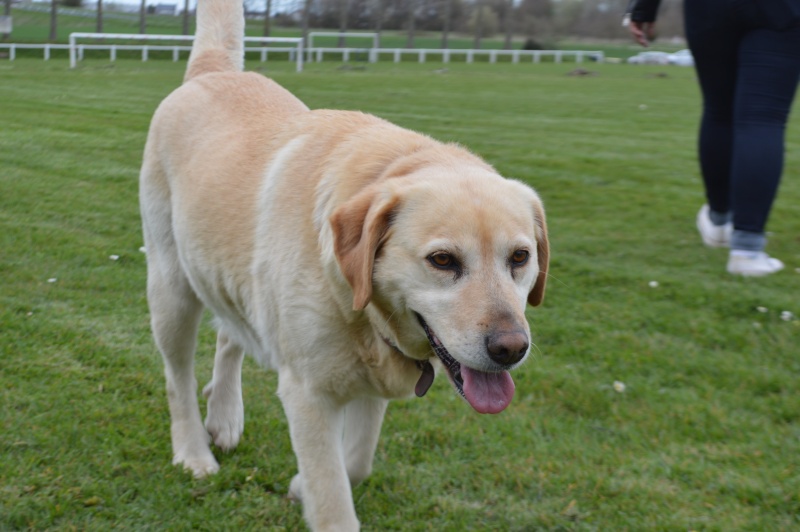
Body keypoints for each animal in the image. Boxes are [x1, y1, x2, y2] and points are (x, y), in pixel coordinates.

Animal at [141, 0, 548, 528]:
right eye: (442, 260)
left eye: (520, 257)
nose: (510, 349)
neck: (356, 304)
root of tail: (213, 71)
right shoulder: (308, 394)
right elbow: (333, 491)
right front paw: (313, 492)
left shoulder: (376, 383)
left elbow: (353, 462)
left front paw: (299, 486)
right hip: (171, 287)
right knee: (178, 378)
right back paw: (193, 451)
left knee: (231, 333)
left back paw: (225, 415)